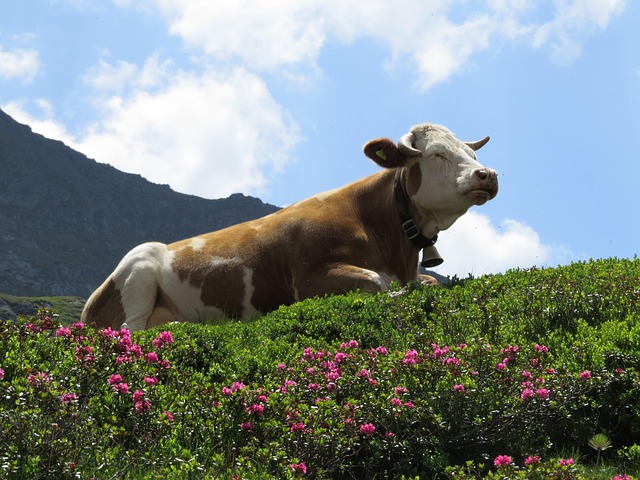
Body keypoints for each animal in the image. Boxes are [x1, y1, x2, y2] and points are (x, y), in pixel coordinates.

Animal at [81, 123, 498, 331]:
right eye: (437, 154)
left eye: (471, 152)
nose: (488, 174)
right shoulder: (309, 280)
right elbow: (376, 283)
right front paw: (395, 293)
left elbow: (427, 284)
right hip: (138, 268)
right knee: (132, 329)